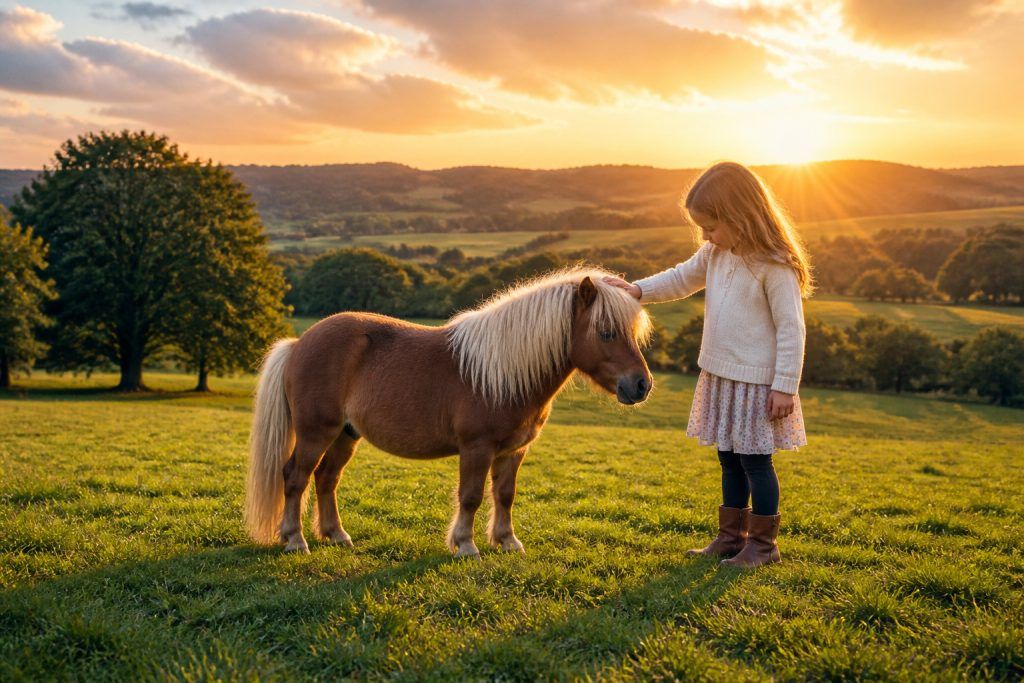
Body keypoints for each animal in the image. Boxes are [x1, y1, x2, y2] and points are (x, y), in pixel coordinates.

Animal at [245, 268, 653, 556]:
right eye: (605, 332)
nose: (641, 385)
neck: (502, 372)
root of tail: (300, 343)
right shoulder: (477, 448)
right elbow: (471, 495)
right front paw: (466, 545)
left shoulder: (514, 451)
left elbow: (505, 495)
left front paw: (507, 542)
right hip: (316, 432)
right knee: (295, 477)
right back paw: (295, 540)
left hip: (346, 434)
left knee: (326, 478)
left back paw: (336, 535)